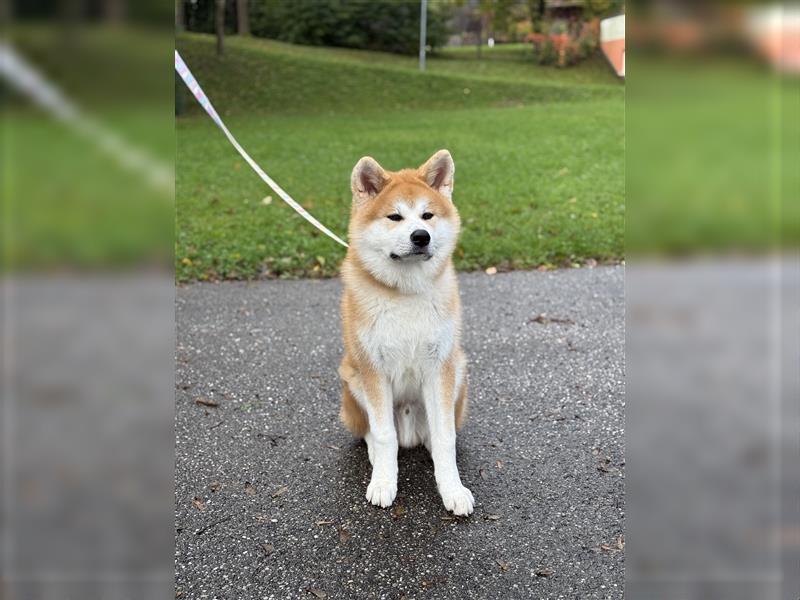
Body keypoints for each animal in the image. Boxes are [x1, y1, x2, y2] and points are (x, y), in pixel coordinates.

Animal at [340, 150, 476, 516]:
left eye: (427, 215)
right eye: (394, 217)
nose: (421, 236)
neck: (406, 293)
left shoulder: (440, 367)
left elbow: (445, 438)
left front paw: (452, 488)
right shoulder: (373, 370)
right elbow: (384, 434)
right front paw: (384, 483)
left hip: (458, 369)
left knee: (437, 433)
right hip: (352, 377)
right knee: (371, 431)